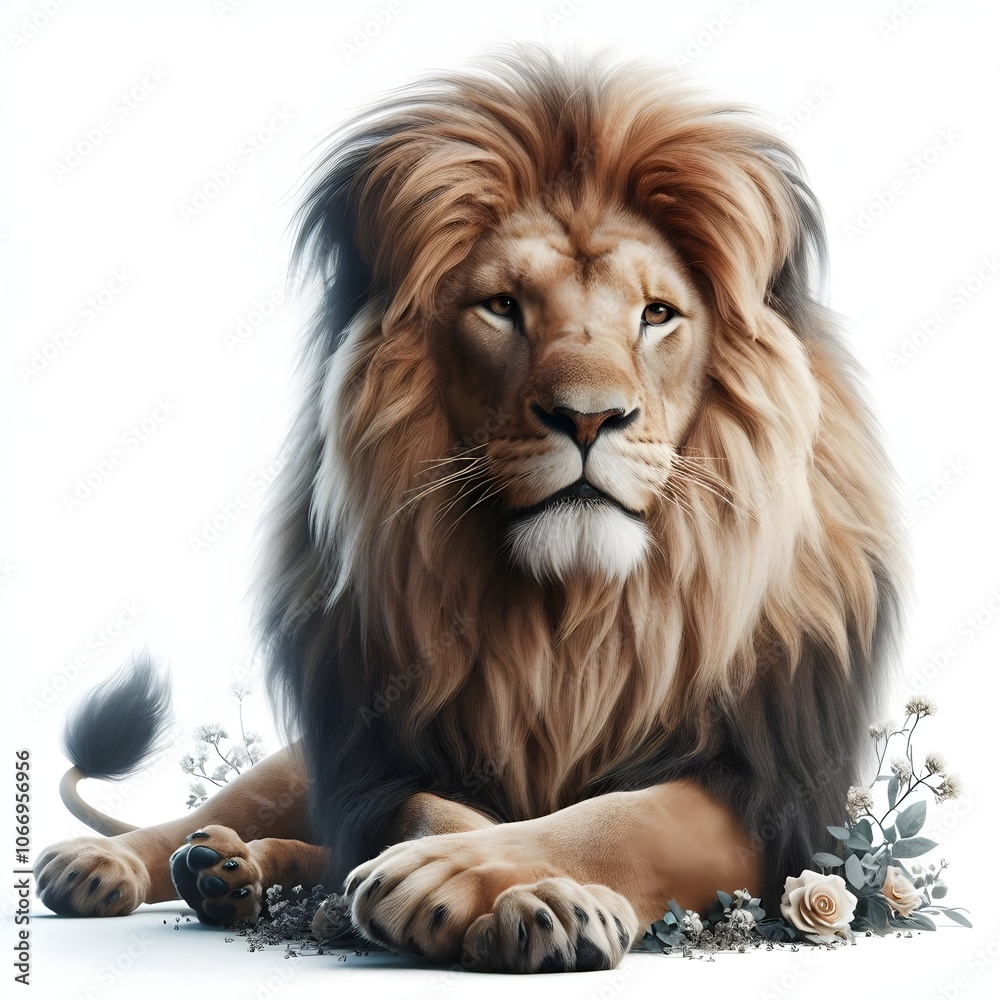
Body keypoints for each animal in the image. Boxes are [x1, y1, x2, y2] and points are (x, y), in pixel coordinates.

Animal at [36, 47, 903, 973]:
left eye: (658, 315)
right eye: (503, 306)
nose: (588, 418)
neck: (575, 625)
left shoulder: (767, 788)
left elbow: (623, 817)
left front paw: (504, 886)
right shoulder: (387, 756)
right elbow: (432, 811)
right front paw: (470, 876)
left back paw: (231, 876)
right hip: (294, 766)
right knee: (206, 819)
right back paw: (125, 863)